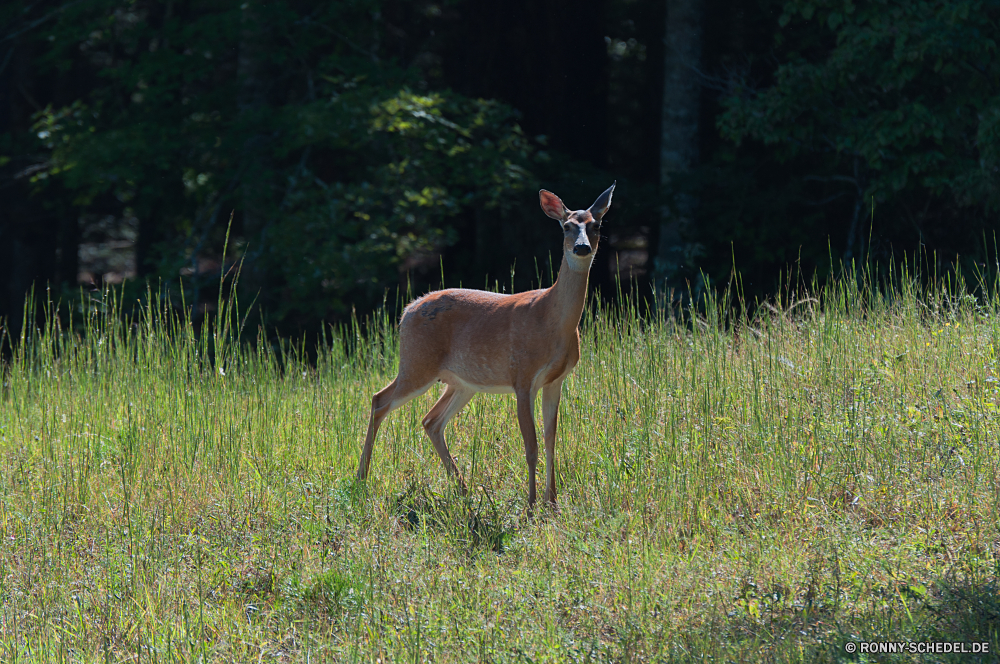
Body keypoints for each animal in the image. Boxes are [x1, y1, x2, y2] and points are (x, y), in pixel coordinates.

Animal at [356, 184, 612, 506]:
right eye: (566, 226)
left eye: (596, 225)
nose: (581, 248)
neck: (551, 321)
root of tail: (407, 310)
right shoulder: (522, 375)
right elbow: (531, 446)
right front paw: (531, 505)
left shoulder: (556, 380)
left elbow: (551, 441)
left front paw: (552, 502)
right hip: (417, 362)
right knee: (379, 400)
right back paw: (361, 479)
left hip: (461, 382)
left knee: (431, 420)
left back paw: (464, 489)